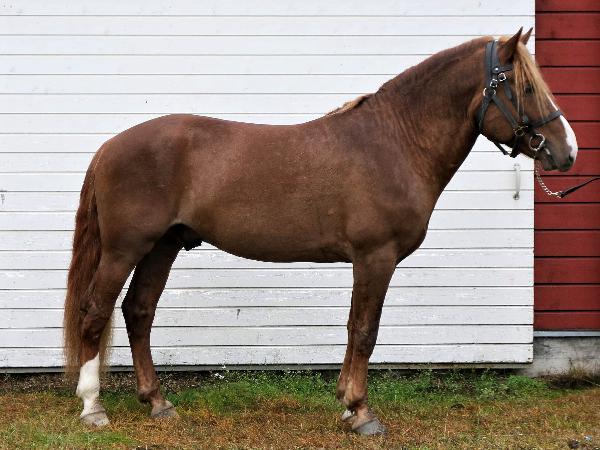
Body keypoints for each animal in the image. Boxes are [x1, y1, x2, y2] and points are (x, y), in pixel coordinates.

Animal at [63, 28, 577, 435]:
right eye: (524, 86)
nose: (566, 151)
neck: (394, 142)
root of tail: (109, 147)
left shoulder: (367, 261)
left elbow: (354, 328)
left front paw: (348, 406)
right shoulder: (375, 257)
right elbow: (365, 331)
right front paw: (362, 412)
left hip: (163, 246)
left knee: (138, 312)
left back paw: (157, 402)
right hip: (125, 248)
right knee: (96, 312)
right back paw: (93, 407)